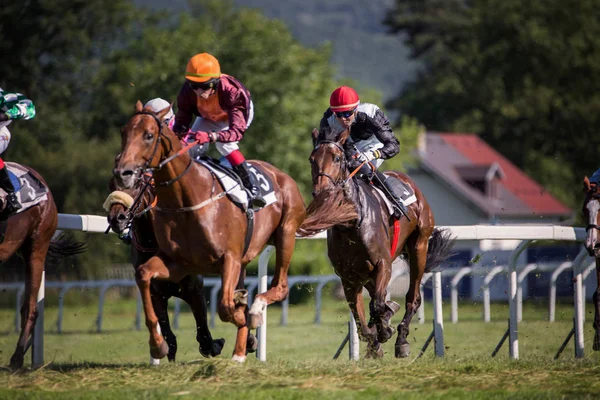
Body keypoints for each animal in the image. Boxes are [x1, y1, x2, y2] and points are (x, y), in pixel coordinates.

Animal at [103, 173, 225, 360]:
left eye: (138, 185)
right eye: (110, 185)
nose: (117, 218)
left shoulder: (194, 290)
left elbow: (204, 335)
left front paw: (216, 345)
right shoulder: (156, 296)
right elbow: (171, 339)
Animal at [298, 129, 452, 360]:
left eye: (336, 158)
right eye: (311, 159)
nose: (321, 192)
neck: (350, 224)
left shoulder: (382, 264)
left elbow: (378, 305)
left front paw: (385, 331)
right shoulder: (349, 278)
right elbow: (362, 321)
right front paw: (375, 343)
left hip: (419, 247)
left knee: (412, 297)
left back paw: (401, 341)